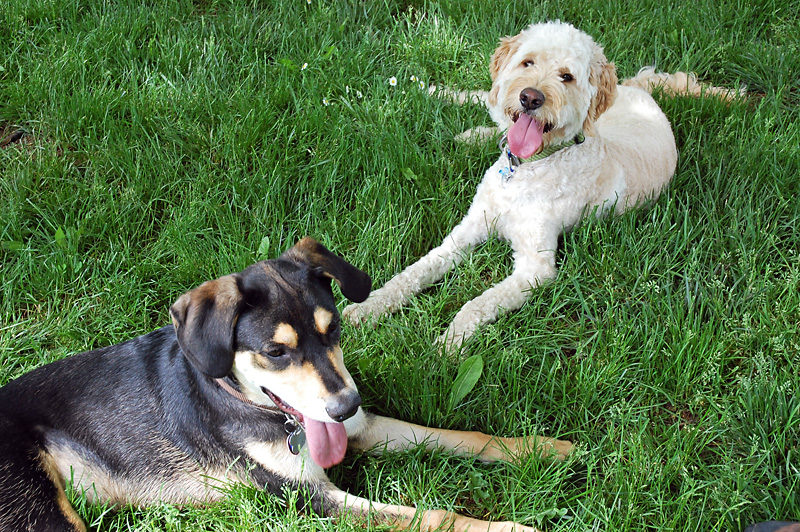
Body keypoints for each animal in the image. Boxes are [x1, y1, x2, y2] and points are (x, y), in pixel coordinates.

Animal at [1, 239, 576, 528]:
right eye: (276, 353)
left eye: (334, 327)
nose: (345, 406)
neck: (244, 402)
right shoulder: (309, 496)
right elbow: (434, 518)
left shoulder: (362, 429)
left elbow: (457, 437)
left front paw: (541, 449)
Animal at [344, 20, 736, 352]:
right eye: (527, 62)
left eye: (567, 77)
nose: (530, 98)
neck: (524, 172)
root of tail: (641, 93)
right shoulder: (463, 234)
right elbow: (414, 272)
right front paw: (369, 307)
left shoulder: (536, 268)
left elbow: (478, 303)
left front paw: (449, 343)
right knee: (485, 101)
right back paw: (443, 99)